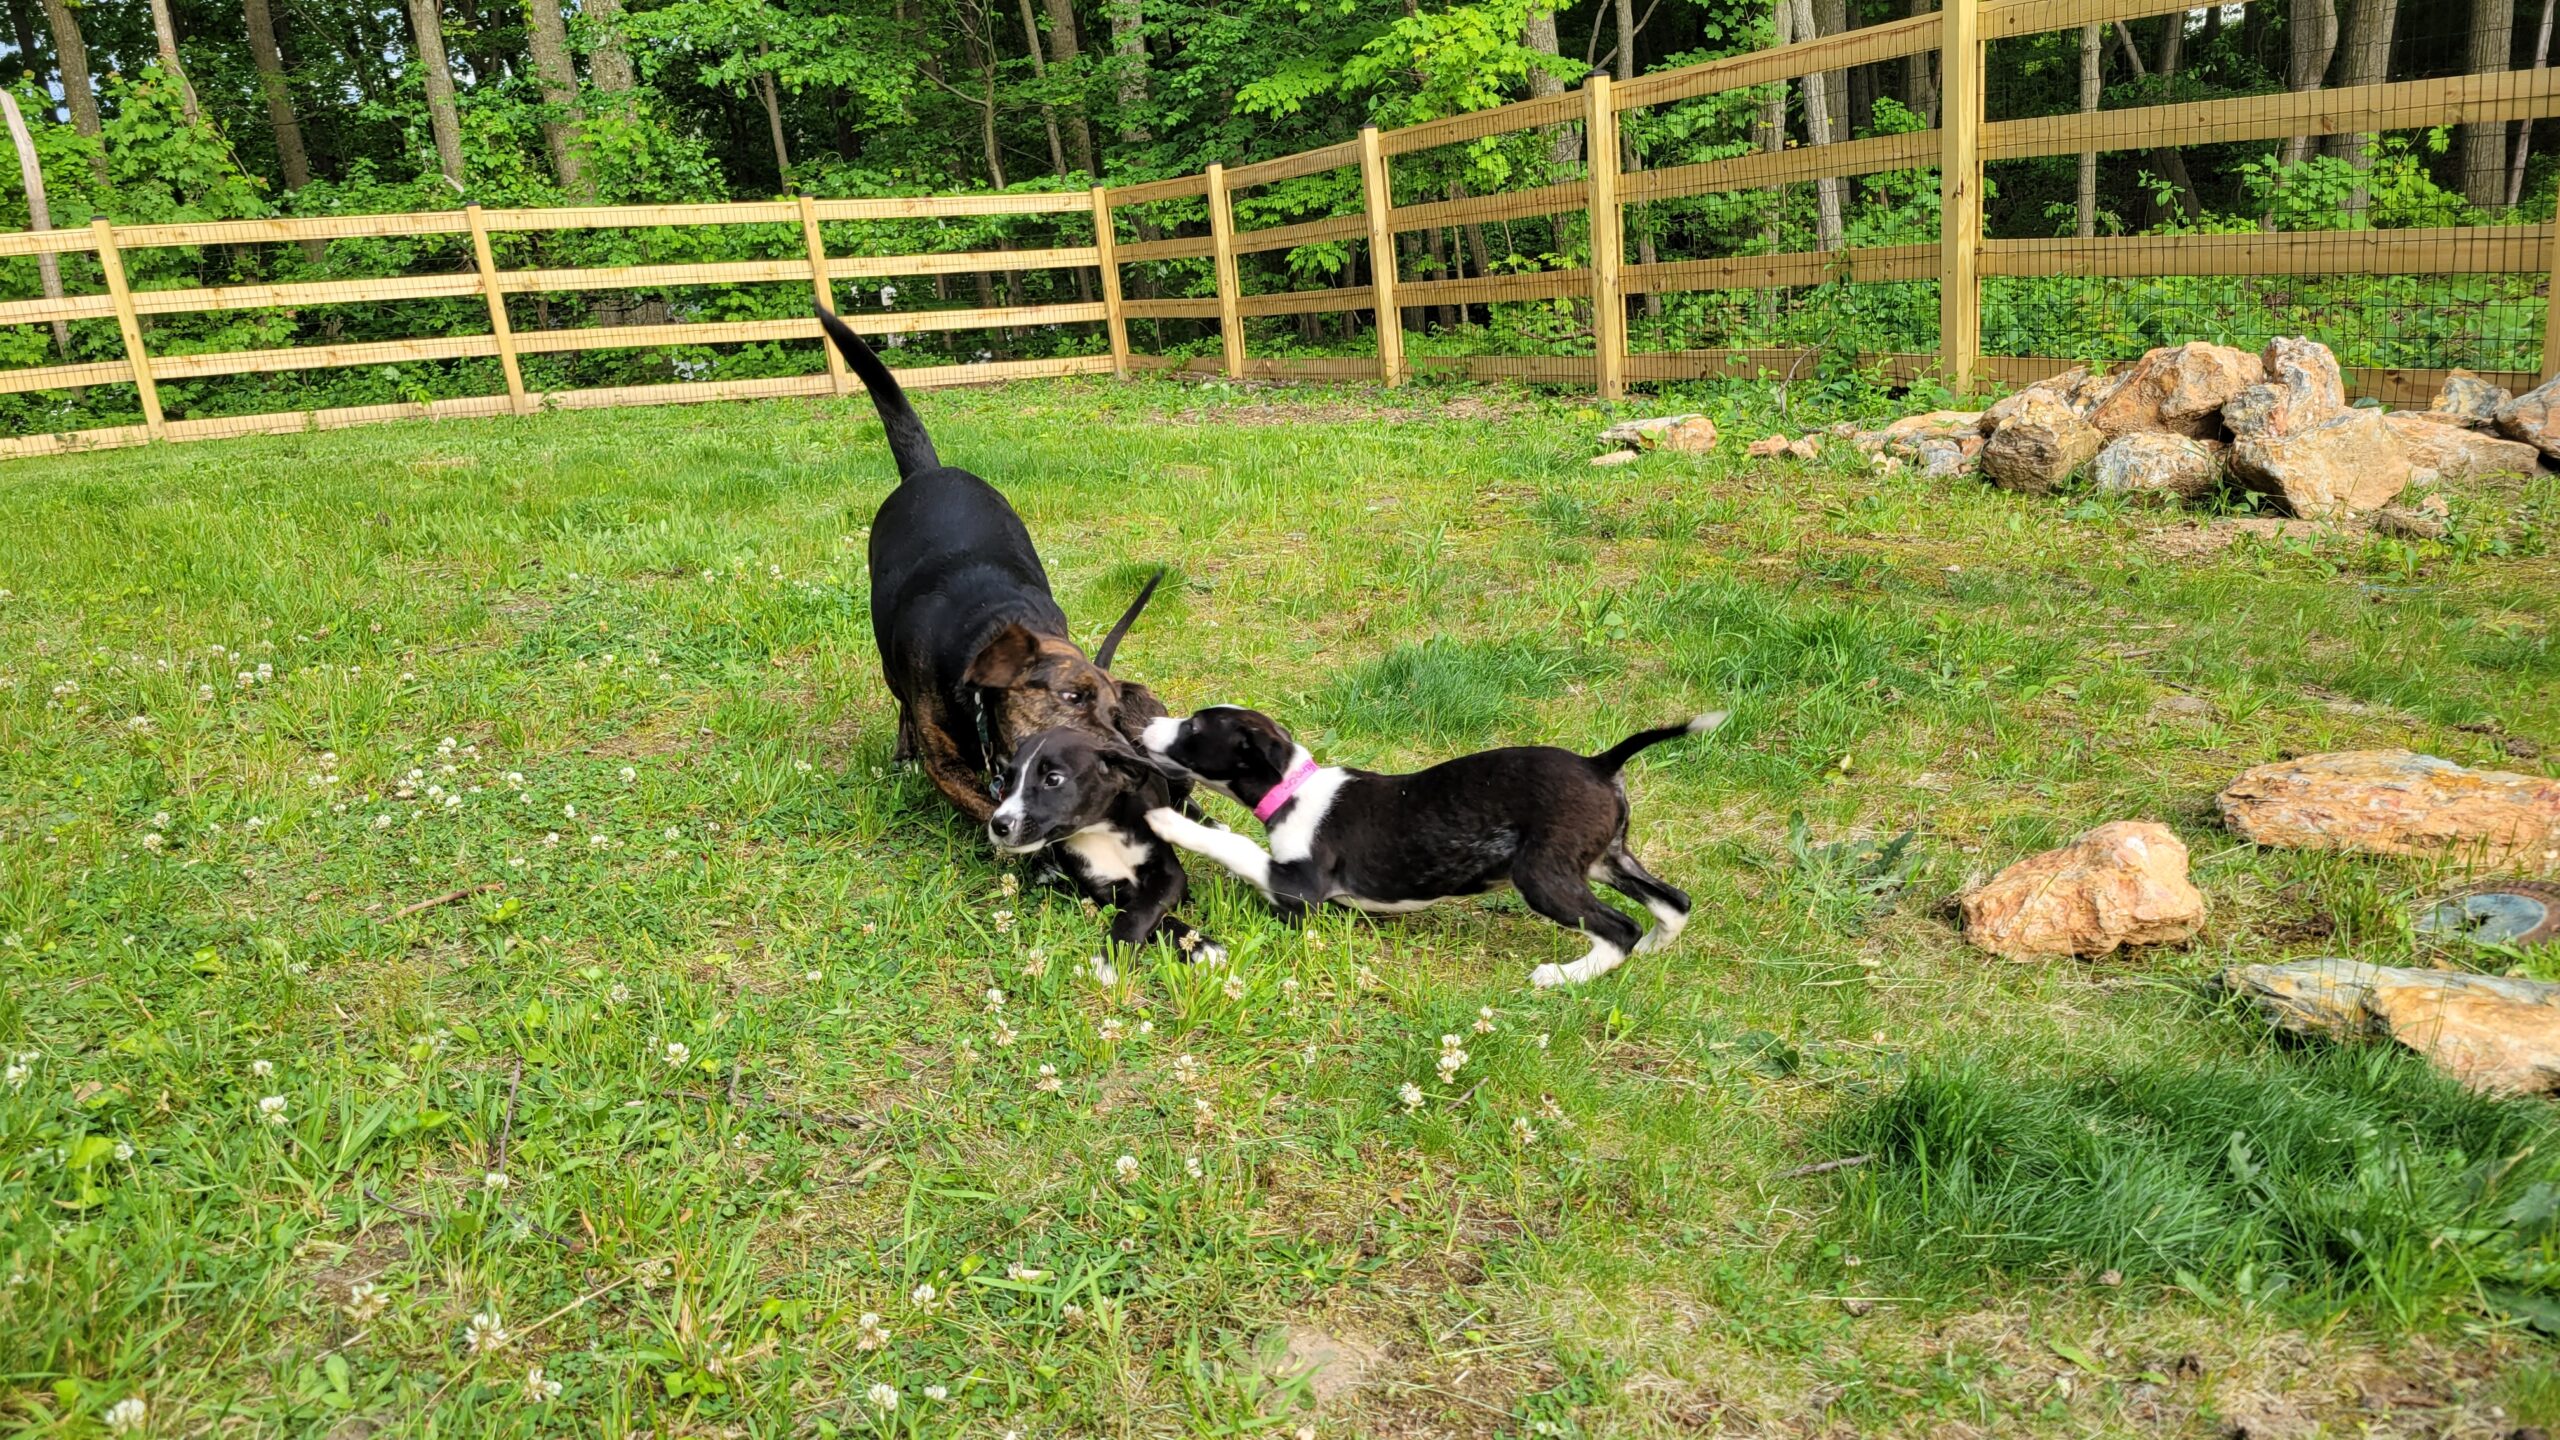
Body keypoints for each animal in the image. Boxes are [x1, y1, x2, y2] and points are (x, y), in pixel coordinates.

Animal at [988, 722, 1218, 958]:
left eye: (1053, 779)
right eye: (1006, 781)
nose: (999, 825)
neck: (1102, 832)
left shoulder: (1170, 874)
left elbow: (1143, 908)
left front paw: (1198, 945)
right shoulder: (1106, 888)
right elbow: (1136, 911)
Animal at [1141, 707, 1720, 983]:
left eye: (1194, 728)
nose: (1145, 723)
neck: (1293, 789)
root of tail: (1599, 764)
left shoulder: (1298, 887)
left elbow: (1235, 845)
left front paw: (1166, 821)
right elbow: (1227, 833)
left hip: (1542, 875)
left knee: (1619, 927)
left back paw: (1564, 976)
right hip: (1605, 859)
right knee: (1674, 902)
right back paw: (1649, 952)